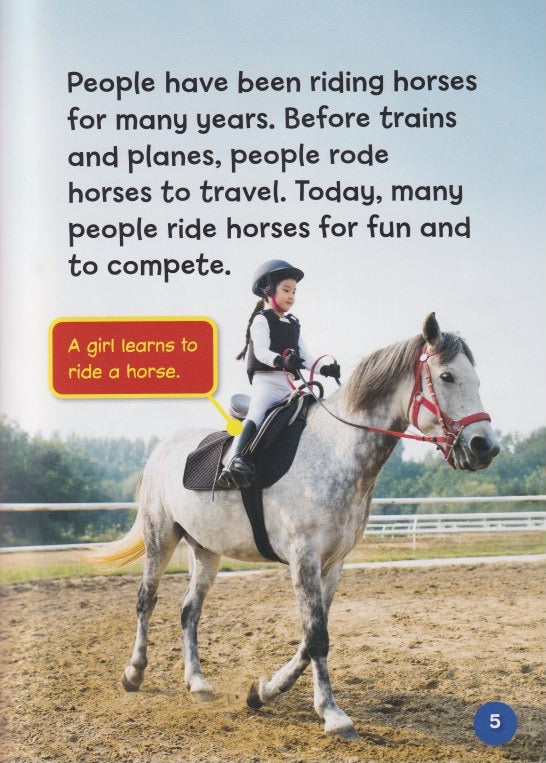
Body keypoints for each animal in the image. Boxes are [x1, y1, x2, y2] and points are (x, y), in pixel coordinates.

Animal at [96, 313, 499, 739]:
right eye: (447, 376)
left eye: (476, 379)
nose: (484, 446)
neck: (337, 451)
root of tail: (162, 448)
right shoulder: (303, 557)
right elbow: (317, 636)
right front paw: (333, 714)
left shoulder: (333, 564)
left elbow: (310, 637)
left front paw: (262, 693)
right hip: (161, 536)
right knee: (146, 599)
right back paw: (134, 673)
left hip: (206, 549)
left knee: (189, 609)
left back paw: (198, 683)